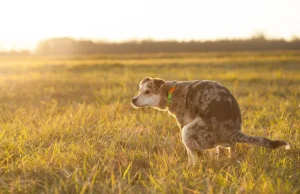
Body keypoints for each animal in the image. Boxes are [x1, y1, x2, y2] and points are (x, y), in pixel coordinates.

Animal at [131, 77, 290, 165]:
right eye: (139, 90)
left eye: (147, 92)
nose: (133, 100)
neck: (171, 92)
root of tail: (233, 132)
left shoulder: (183, 123)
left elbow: (190, 155)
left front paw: (188, 165)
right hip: (227, 142)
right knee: (231, 151)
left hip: (188, 131)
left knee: (196, 158)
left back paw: (192, 168)